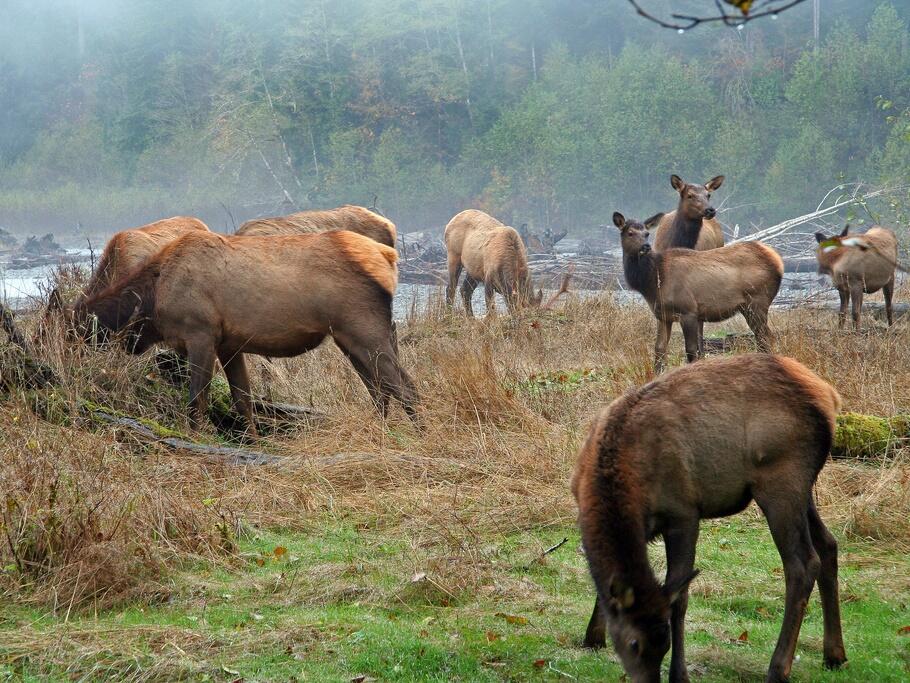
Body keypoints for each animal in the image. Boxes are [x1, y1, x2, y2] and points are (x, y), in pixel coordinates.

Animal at [74, 230, 418, 434]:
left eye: (75, 331)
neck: (153, 300)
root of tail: (388, 257)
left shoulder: (201, 333)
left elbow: (196, 399)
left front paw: (194, 437)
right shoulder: (230, 345)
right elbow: (243, 401)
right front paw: (254, 441)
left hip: (363, 327)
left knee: (405, 386)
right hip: (351, 337)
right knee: (380, 390)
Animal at [573, 353, 846, 683]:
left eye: (663, 641)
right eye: (633, 643)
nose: (648, 680)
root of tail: (831, 398)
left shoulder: (683, 512)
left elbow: (679, 598)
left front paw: (680, 674)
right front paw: (592, 636)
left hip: (781, 482)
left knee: (803, 563)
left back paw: (778, 668)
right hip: (802, 489)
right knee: (828, 545)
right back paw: (835, 655)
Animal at [612, 212, 782, 373]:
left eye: (647, 233)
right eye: (630, 233)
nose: (646, 247)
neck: (653, 281)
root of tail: (778, 261)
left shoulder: (689, 311)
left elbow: (691, 351)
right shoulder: (663, 316)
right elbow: (659, 349)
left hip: (757, 302)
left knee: (767, 337)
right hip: (748, 307)